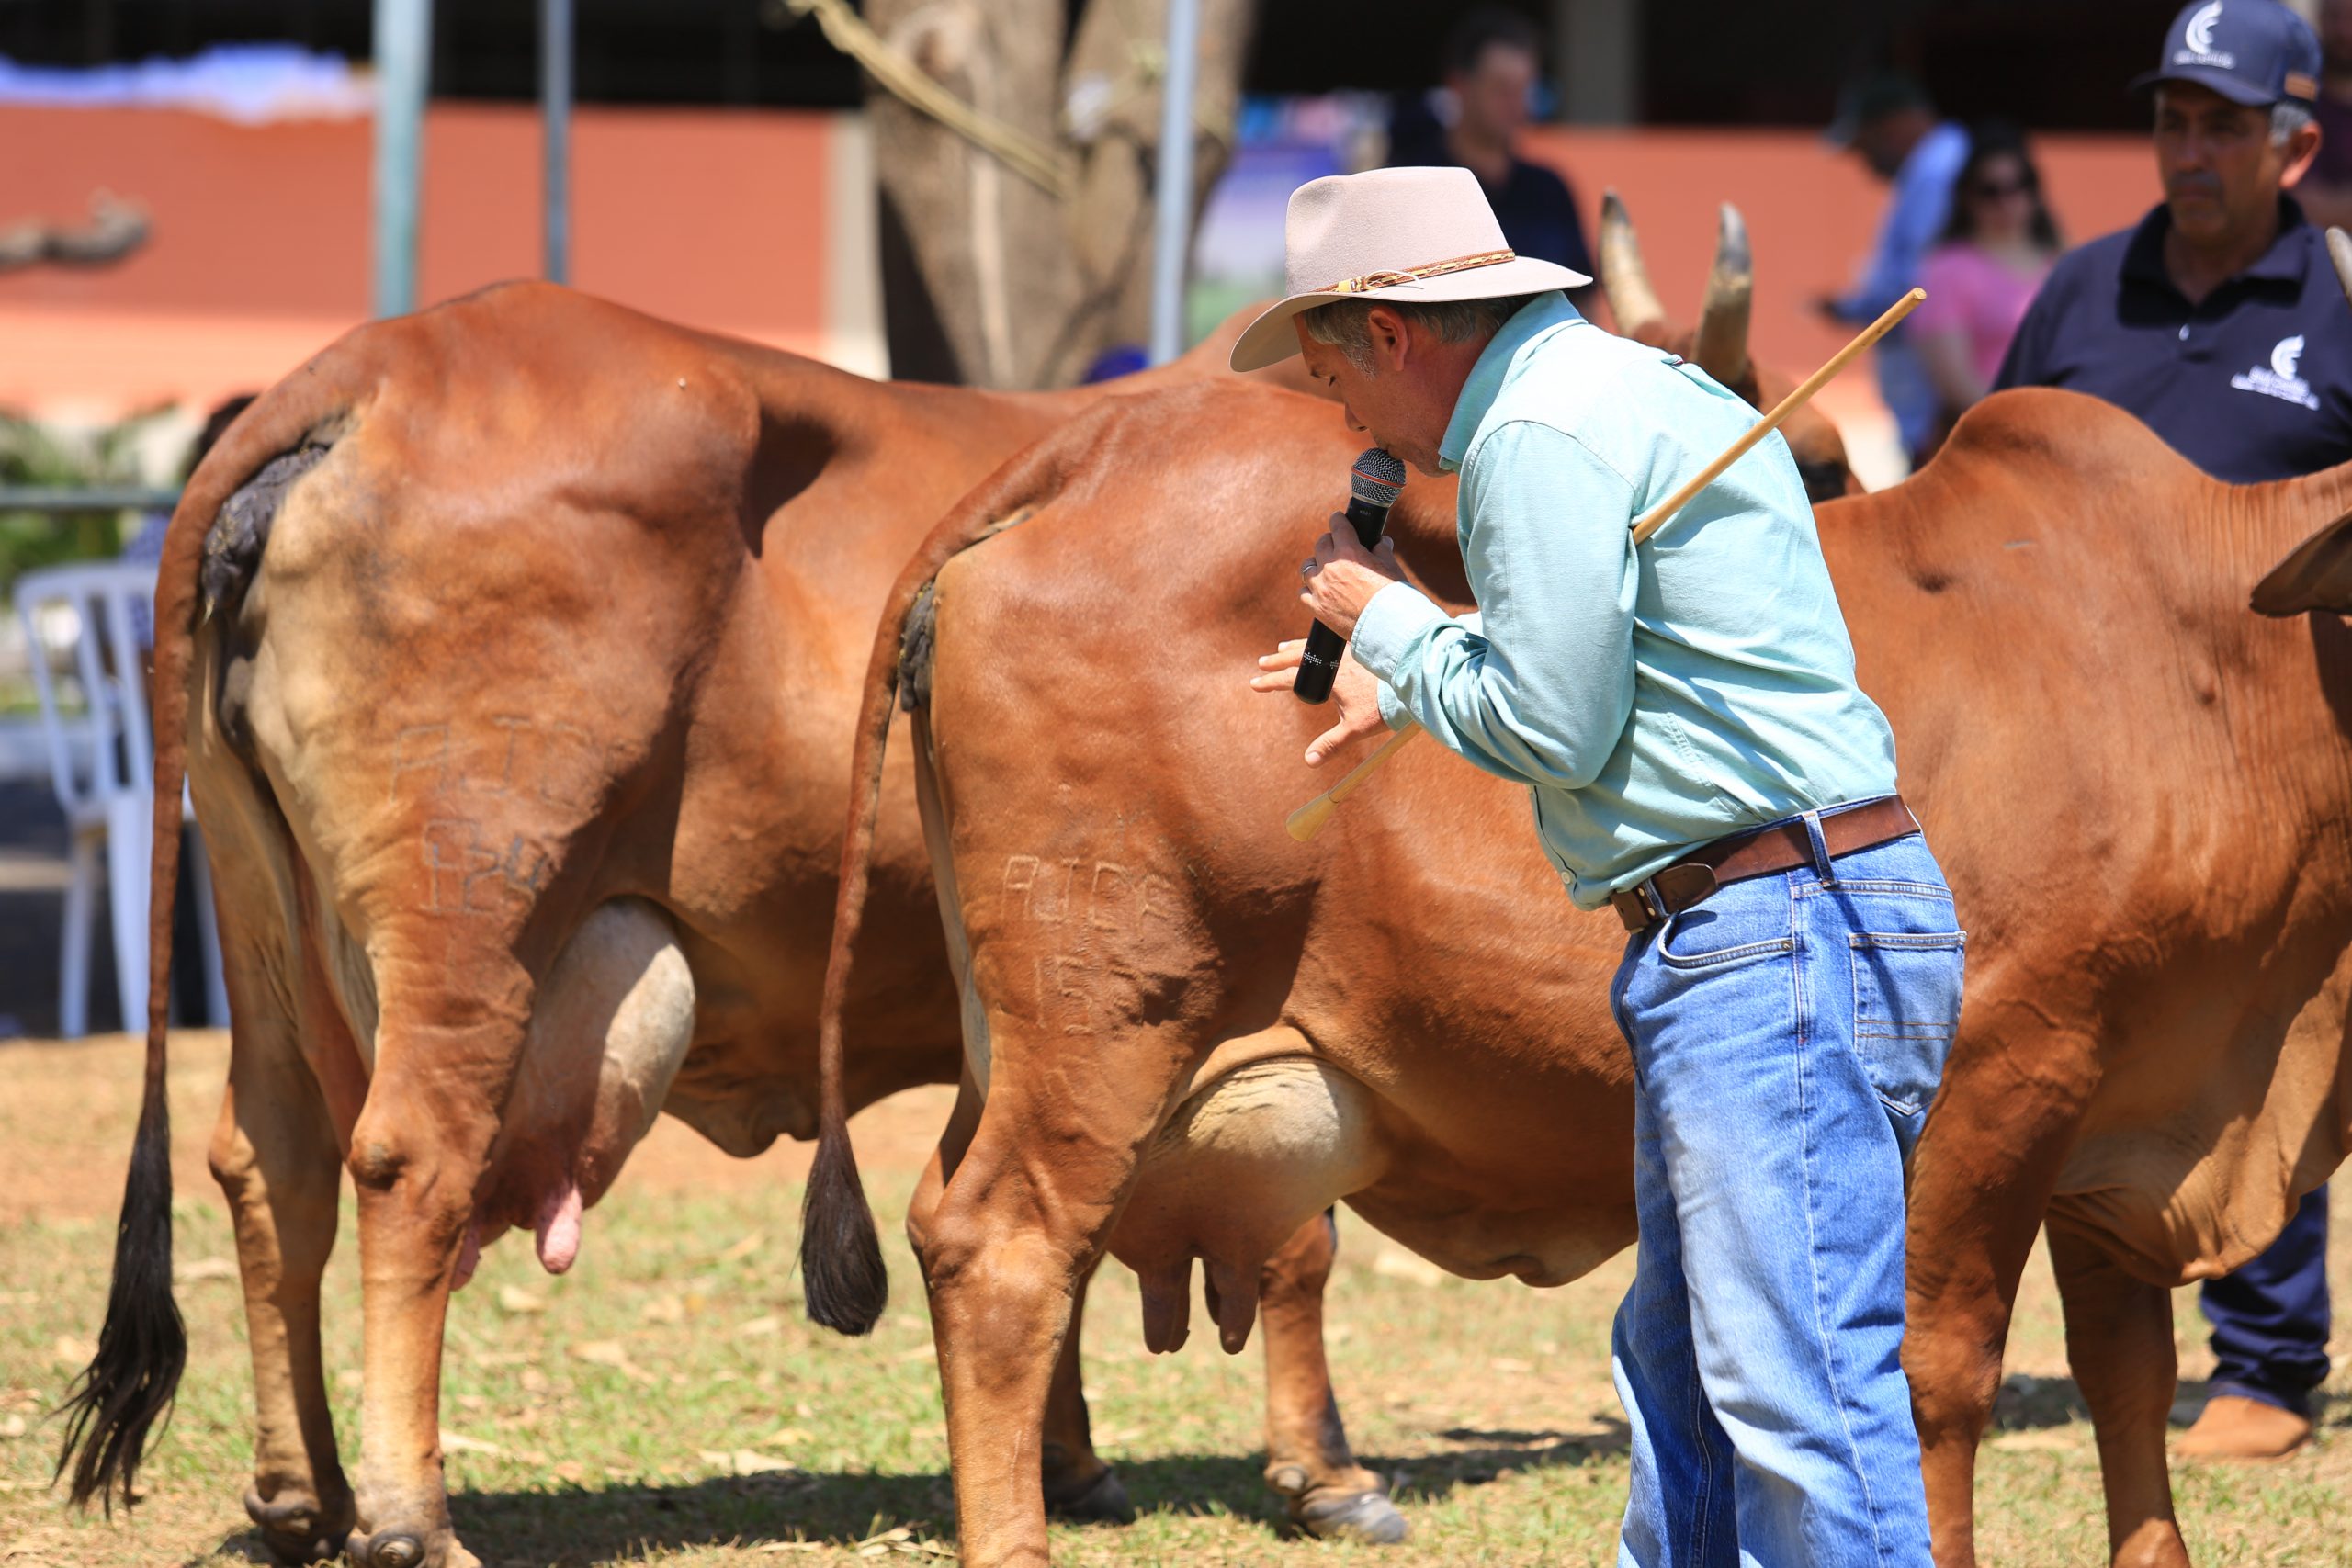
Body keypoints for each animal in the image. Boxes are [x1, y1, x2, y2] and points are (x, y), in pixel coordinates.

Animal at [55, 285, 1401, 1568]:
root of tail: (372, 369)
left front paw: (1068, 1464)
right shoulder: (1280, 971)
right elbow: (1296, 1231)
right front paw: (1326, 1472)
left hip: (258, 921)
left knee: (271, 1165)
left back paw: (303, 1495)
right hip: (470, 900)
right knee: (406, 1158)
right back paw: (407, 1516)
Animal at [799, 371, 2352, 1568]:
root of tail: (1092, 445)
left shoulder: (2120, 1122)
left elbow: (2128, 1377)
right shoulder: (1999, 1091)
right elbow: (1938, 1376)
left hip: (1033, 1037)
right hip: (1107, 1018)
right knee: (1000, 1247)